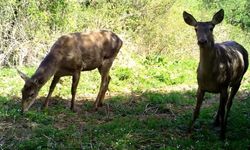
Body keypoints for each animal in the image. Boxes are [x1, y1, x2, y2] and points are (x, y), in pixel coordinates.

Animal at [183, 9, 249, 138]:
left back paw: (223, 124)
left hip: (238, 80)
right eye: (196, 28)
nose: (202, 41)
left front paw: (222, 135)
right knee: (221, 104)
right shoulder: (201, 86)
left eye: (211, 28)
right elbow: (196, 110)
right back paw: (216, 121)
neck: (210, 76)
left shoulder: (224, 84)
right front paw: (188, 131)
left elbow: (224, 109)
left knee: (228, 104)